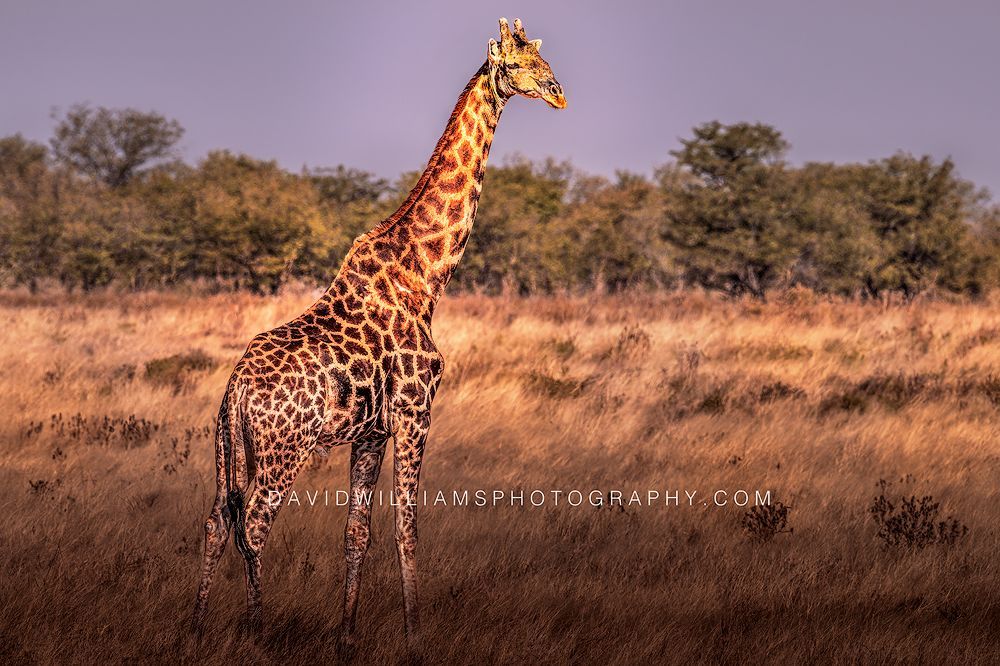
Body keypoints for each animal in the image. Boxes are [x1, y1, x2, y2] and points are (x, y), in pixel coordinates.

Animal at [192, 17, 565, 657]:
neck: (428, 274)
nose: (559, 92)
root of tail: (236, 390)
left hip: (228, 446)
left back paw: (192, 628)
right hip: (283, 450)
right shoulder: (417, 408)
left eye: (543, 59)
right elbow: (407, 528)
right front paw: (416, 637)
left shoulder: (371, 431)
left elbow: (357, 532)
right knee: (254, 526)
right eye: (517, 65)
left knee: (218, 521)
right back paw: (256, 631)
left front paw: (346, 637)